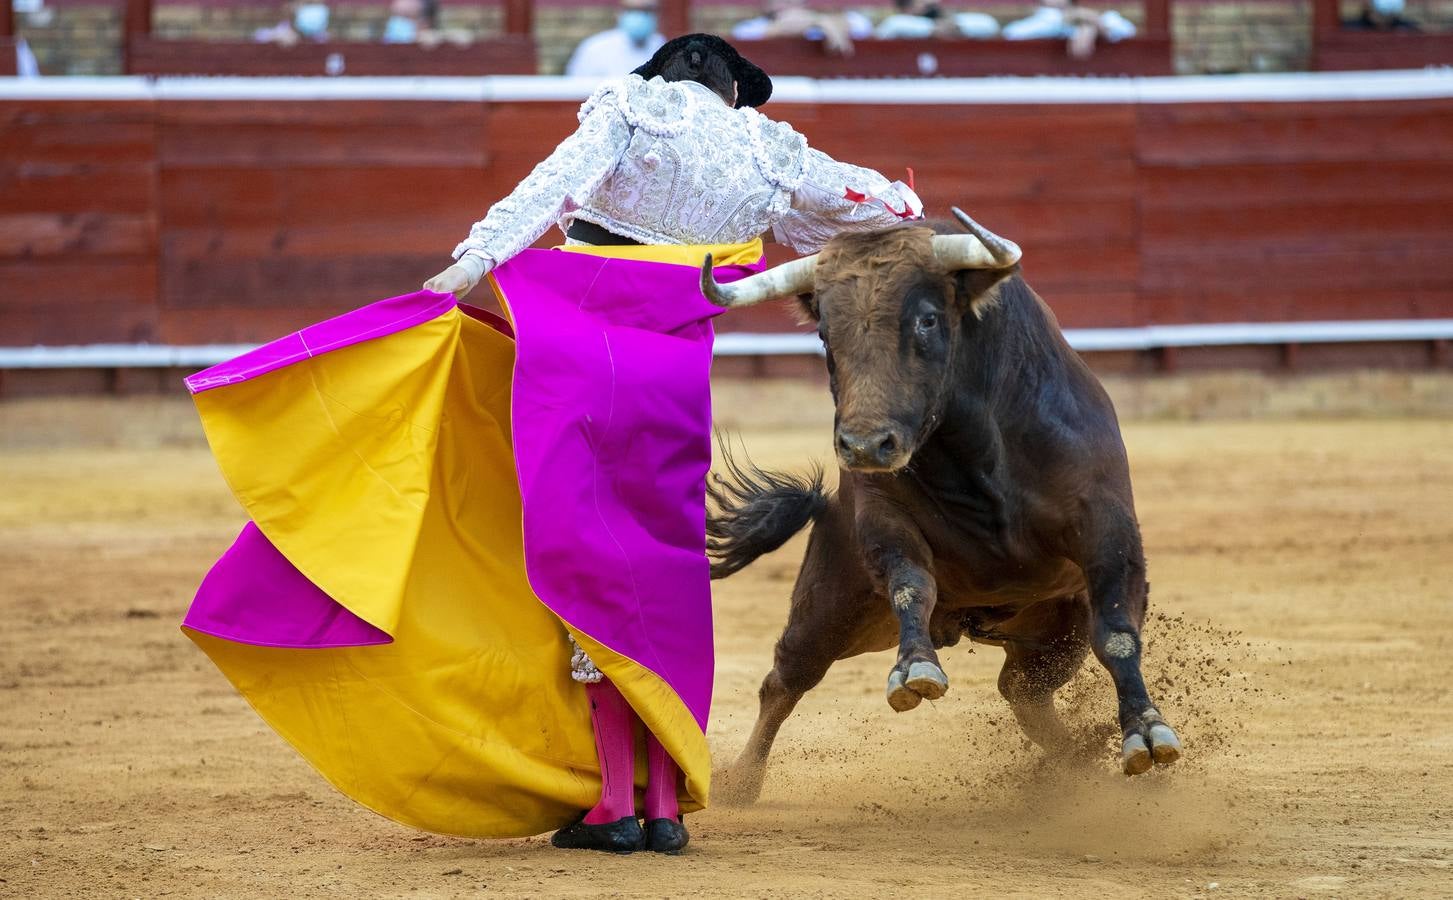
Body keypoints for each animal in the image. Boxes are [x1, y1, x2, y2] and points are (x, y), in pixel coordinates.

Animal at [700, 222, 1179, 808]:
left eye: (927, 319)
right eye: (824, 334)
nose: (864, 446)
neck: (973, 453)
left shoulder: (1107, 528)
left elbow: (1116, 632)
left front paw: (1146, 733)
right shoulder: (884, 521)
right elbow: (911, 585)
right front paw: (915, 669)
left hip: (1055, 633)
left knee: (1024, 693)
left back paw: (1078, 762)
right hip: (830, 606)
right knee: (786, 679)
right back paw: (741, 781)